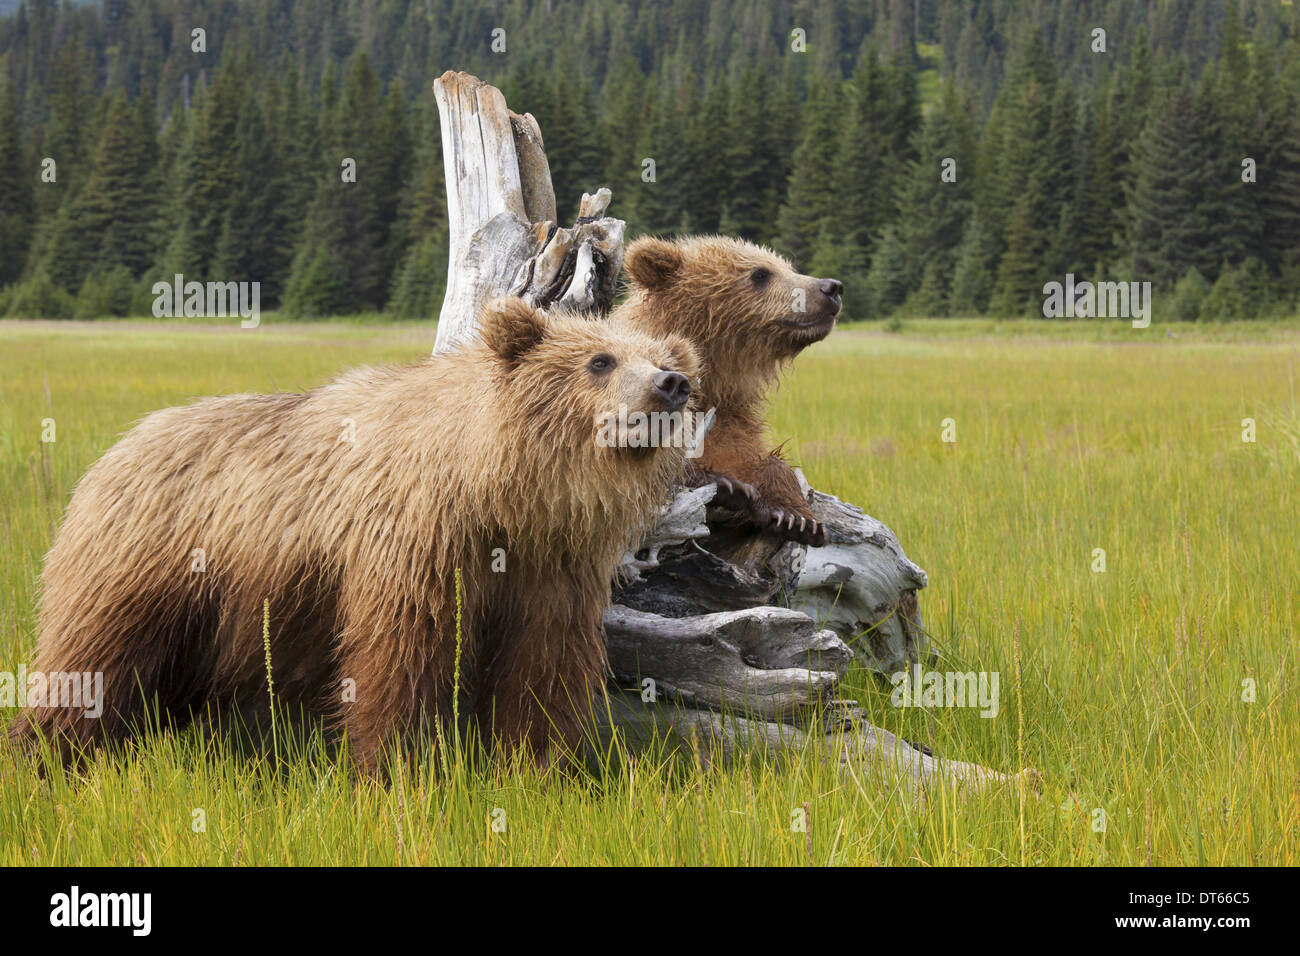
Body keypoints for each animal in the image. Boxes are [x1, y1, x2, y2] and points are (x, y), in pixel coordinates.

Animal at [10, 295, 702, 775]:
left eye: (665, 360)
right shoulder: (416, 539)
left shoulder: (551, 564)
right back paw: (42, 754)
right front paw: (395, 768)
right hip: (146, 564)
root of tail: (113, 450)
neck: (495, 490)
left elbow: (543, 664)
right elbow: (399, 655)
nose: (671, 385)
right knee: (93, 661)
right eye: (599, 359)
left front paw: (536, 768)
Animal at [616, 234, 842, 546]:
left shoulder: (730, 413)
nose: (831, 287)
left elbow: (753, 456)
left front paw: (796, 517)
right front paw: (727, 486)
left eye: (788, 267)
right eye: (760, 274)